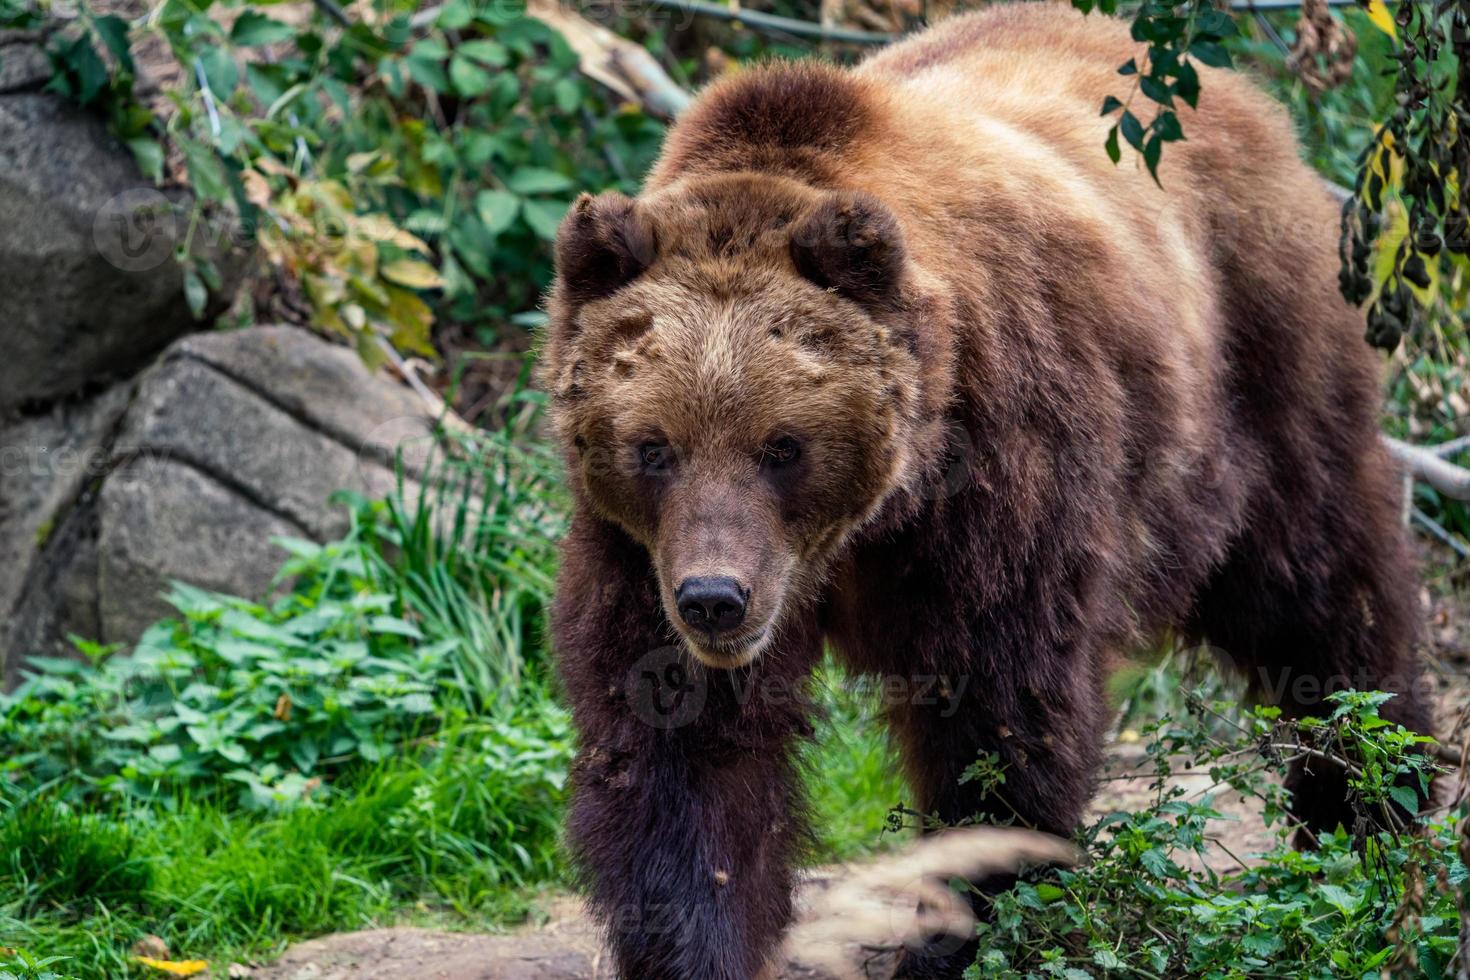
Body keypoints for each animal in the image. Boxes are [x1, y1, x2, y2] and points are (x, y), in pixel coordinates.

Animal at [538, 3, 1422, 975]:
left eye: (783, 445)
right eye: (654, 447)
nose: (714, 600)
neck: (866, 526)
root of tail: (1249, 102)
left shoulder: (999, 475)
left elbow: (999, 717)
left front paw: (963, 928)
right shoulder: (640, 549)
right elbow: (681, 743)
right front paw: (702, 937)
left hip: (1259, 368)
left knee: (1318, 585)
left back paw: (1372, 803)